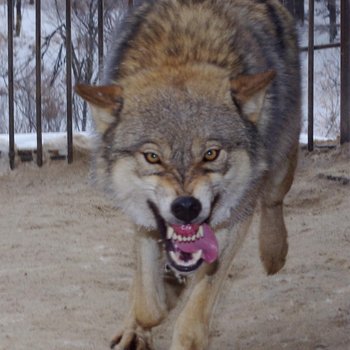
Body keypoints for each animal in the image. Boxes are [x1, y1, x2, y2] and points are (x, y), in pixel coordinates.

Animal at [76, 1, 300, 348]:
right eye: (152, 157)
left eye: (211, 153)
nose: (186, 207)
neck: (181, 51)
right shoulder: (143, 221)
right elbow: (147, 304)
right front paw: (159, 298)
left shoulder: (234, 218)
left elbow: (191, 321)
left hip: (282, 154)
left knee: (274, 199)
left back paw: (274, 253)